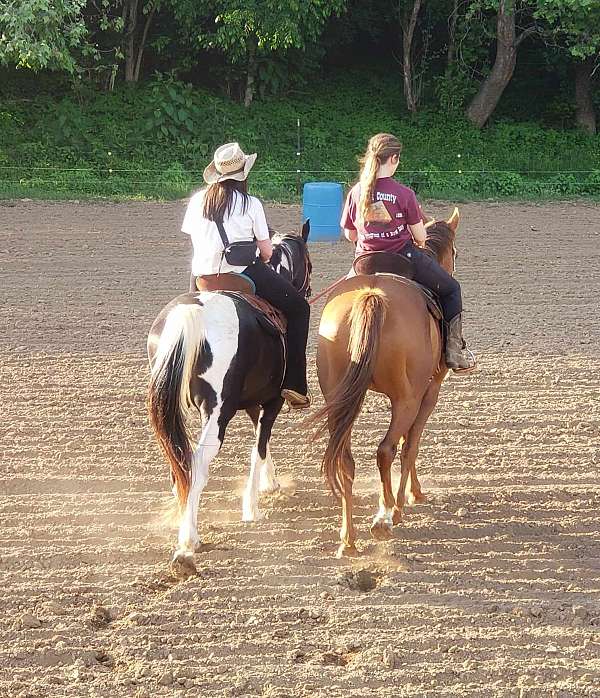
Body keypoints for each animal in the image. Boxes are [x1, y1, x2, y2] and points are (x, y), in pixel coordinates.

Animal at [148, 222, 312, 572]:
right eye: (309, 263)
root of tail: (193, 313)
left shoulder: (251, 403)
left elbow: (261, 442)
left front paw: (270, 482)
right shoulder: (272, 401)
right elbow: (258, 447)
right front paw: (252, 507)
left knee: (178, 459)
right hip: (217, 412)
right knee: (196, 461)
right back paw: (188, 539)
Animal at [314, 207, 460, 556]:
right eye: (455, 253)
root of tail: (372, 295)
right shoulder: (429, 392)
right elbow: (412, 444)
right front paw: (410, 497)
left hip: (339, 401)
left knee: (345, 461)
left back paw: (348, 539)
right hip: (406, 399)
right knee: (387, 449)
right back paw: (385, 517)